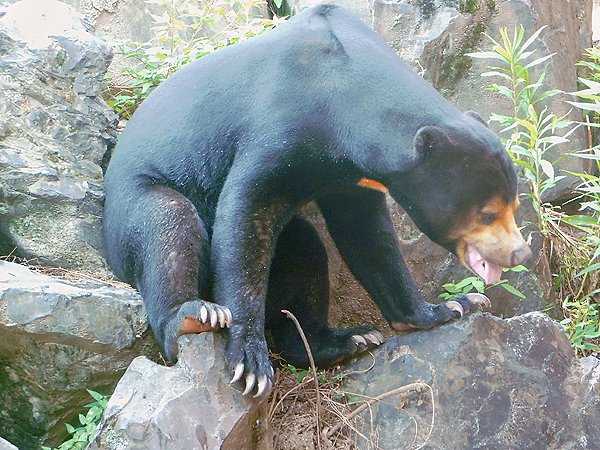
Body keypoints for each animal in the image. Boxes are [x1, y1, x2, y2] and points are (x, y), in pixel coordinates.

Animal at [102, 2, 528, 398]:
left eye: (515, 206)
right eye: (487, 212)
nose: (519, 252)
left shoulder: (349, 175)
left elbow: (366, 236)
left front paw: (451, 307)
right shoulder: (281, 121)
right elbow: (244, 209)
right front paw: (250, 361)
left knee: (303, 250)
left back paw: (346, 339)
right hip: (132, 205)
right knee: (168, 223)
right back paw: (195, 313)